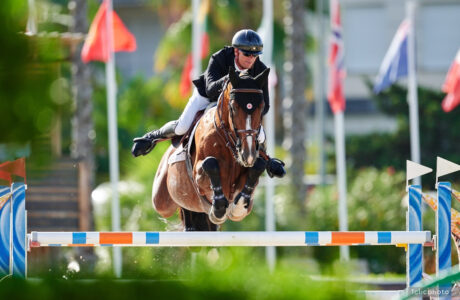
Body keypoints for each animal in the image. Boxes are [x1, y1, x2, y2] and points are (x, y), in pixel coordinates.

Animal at [151, 67, 270, 231]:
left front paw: (237, 206)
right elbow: (210, 163)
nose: (248, 155)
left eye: (262, 107)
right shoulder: (198, 175)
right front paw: (218, 208)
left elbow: (258, 167)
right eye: (233, 107)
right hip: (161, 200)